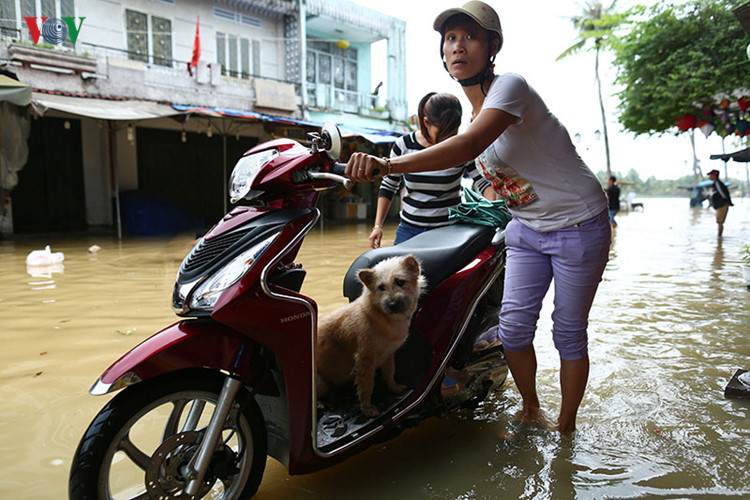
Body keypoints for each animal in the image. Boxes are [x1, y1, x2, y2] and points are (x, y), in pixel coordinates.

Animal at [316, 256, 426, 416]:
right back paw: (320, 404)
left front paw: (394, 388)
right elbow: (366, 387)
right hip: (320, 383)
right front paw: (367, 408)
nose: (392, 304)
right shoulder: (364, 361)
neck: (380, 318)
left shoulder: (388, 354)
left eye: (400, 282)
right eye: (381, 287)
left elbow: (390, 373)